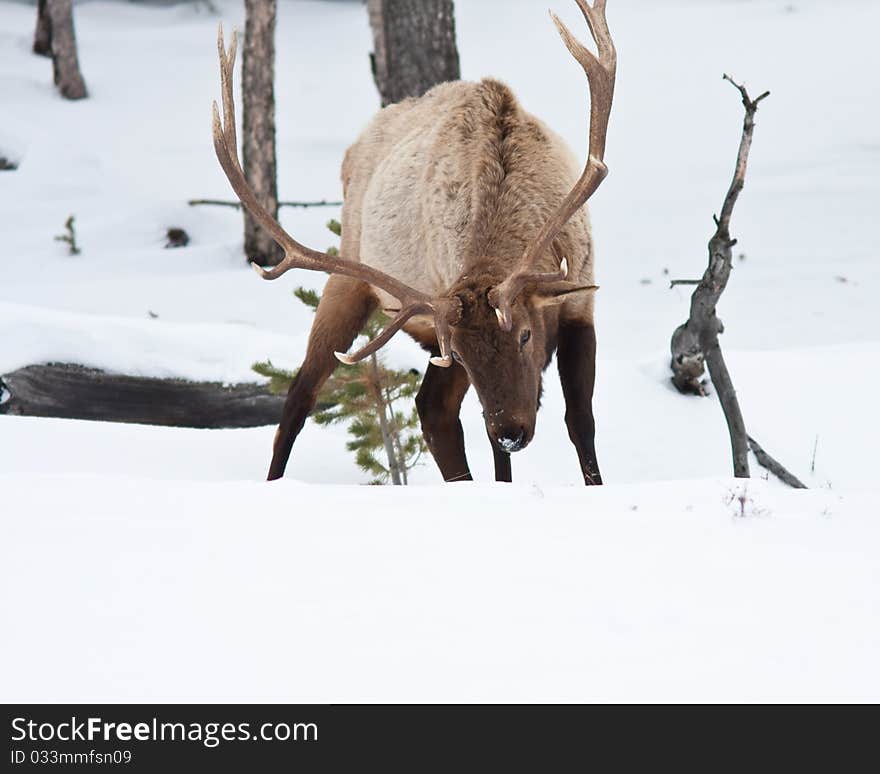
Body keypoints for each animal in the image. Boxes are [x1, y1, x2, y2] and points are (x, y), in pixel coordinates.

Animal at [210, 0, 616, 484]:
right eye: (460, 353)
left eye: (524, 334)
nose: (512, 433)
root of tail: (353, 148)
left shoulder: (580, 304)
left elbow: (581, 423)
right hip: (350, 276)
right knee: (302, 398)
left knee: (433, 410)